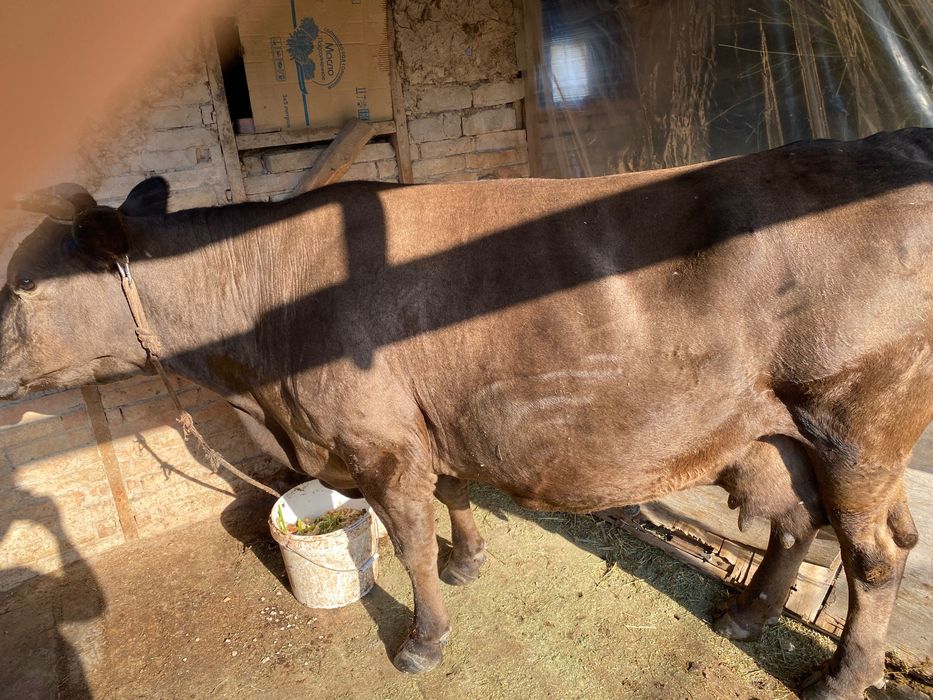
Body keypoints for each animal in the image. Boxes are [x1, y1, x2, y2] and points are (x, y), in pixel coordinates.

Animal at [1, 128, 931, 699]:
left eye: (23, 286)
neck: (258, 373)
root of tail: (887, 147)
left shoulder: (377, 443)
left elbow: (408, 540)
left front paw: (421, 640)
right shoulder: (427, 424)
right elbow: (452, 495)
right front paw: (469, 563)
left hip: (857, 428)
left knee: (874, 557)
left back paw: (840, 677)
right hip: (775, 433)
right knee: (796, 521)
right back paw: (746, 614)